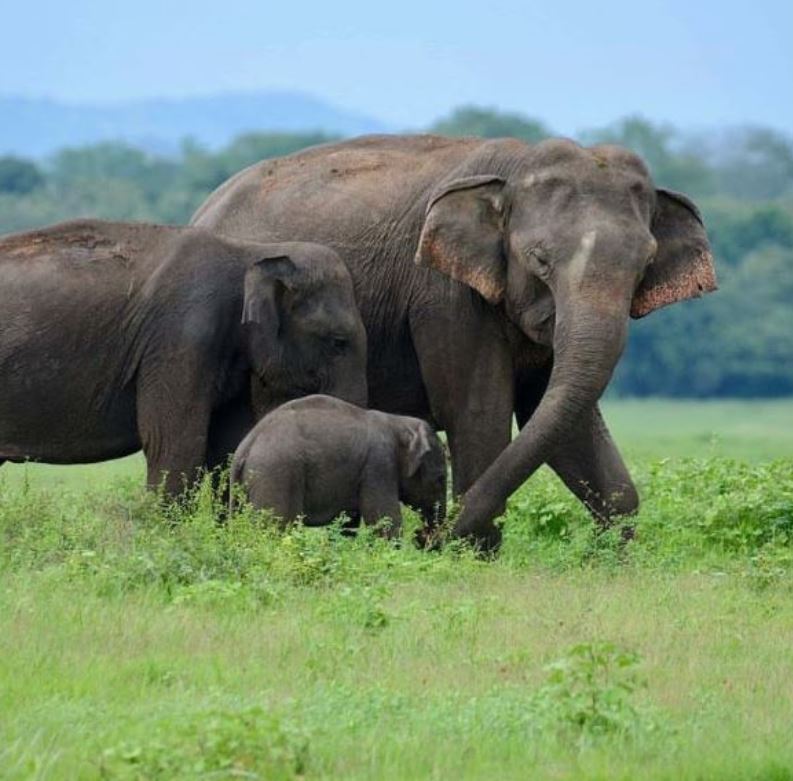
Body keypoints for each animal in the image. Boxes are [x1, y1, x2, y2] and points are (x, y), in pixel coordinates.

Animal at [229, 396, 446, 536]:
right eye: (441, 479)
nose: (420, 536)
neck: (398, 422)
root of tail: (246, 446)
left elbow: (348, 521)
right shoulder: (379, 465)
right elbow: (384, 518)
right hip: (276, 474)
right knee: (276, 527)